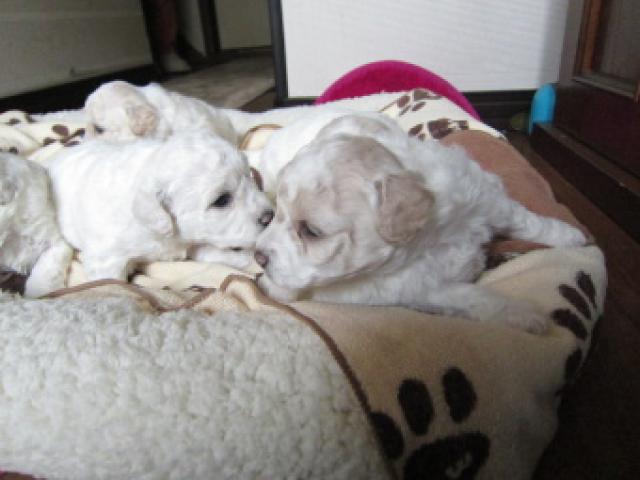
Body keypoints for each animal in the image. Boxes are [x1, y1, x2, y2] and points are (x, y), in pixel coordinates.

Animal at [254, 114, 587, 333]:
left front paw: (572, 236)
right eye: (276, 214)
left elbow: (528, 221)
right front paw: (525, 313)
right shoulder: (423, 288)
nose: (258, 258)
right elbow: (476, 296)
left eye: (311, 232)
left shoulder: (488, 200)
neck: (431, 235)